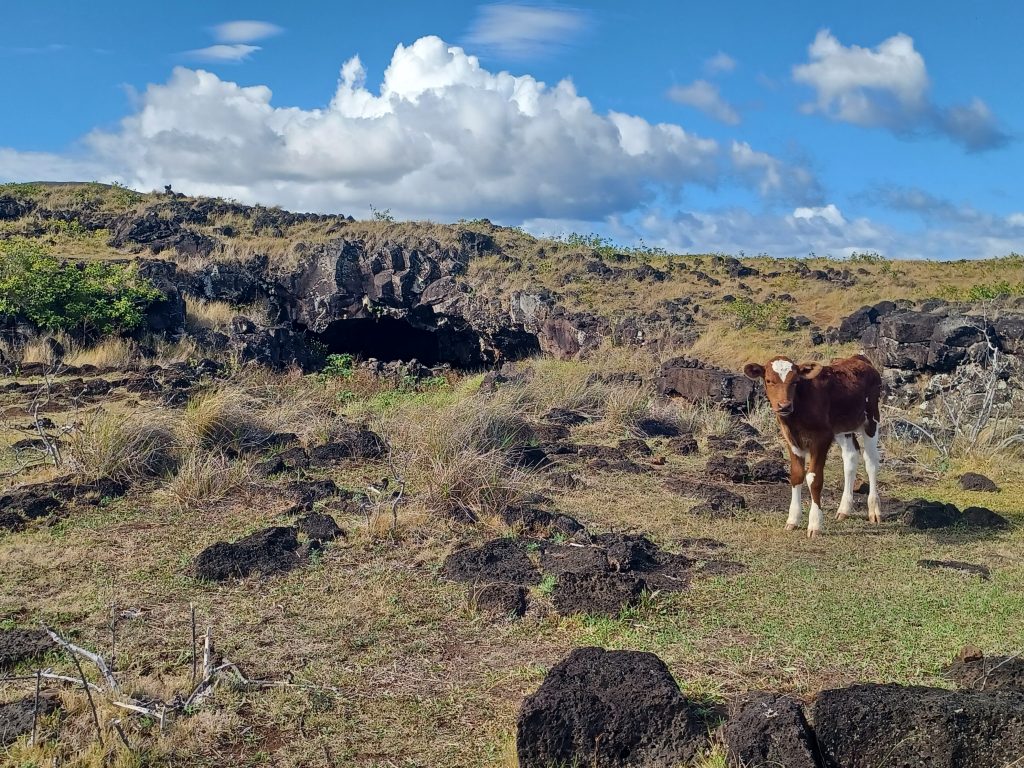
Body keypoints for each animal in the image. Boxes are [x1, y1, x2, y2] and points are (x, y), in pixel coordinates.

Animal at [743, 354, 882, 537]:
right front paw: (792, 520)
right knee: (851, 457)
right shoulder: (791, 439)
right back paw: (844, 509)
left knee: (871, 462)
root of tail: (858, 358)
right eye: (768, 380)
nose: (784, 405)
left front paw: (815, 524)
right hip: (842, 428)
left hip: (871, 419)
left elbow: (814, 479)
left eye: (795, 381)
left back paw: (874, 510)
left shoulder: (822, 438)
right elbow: (796, 475)